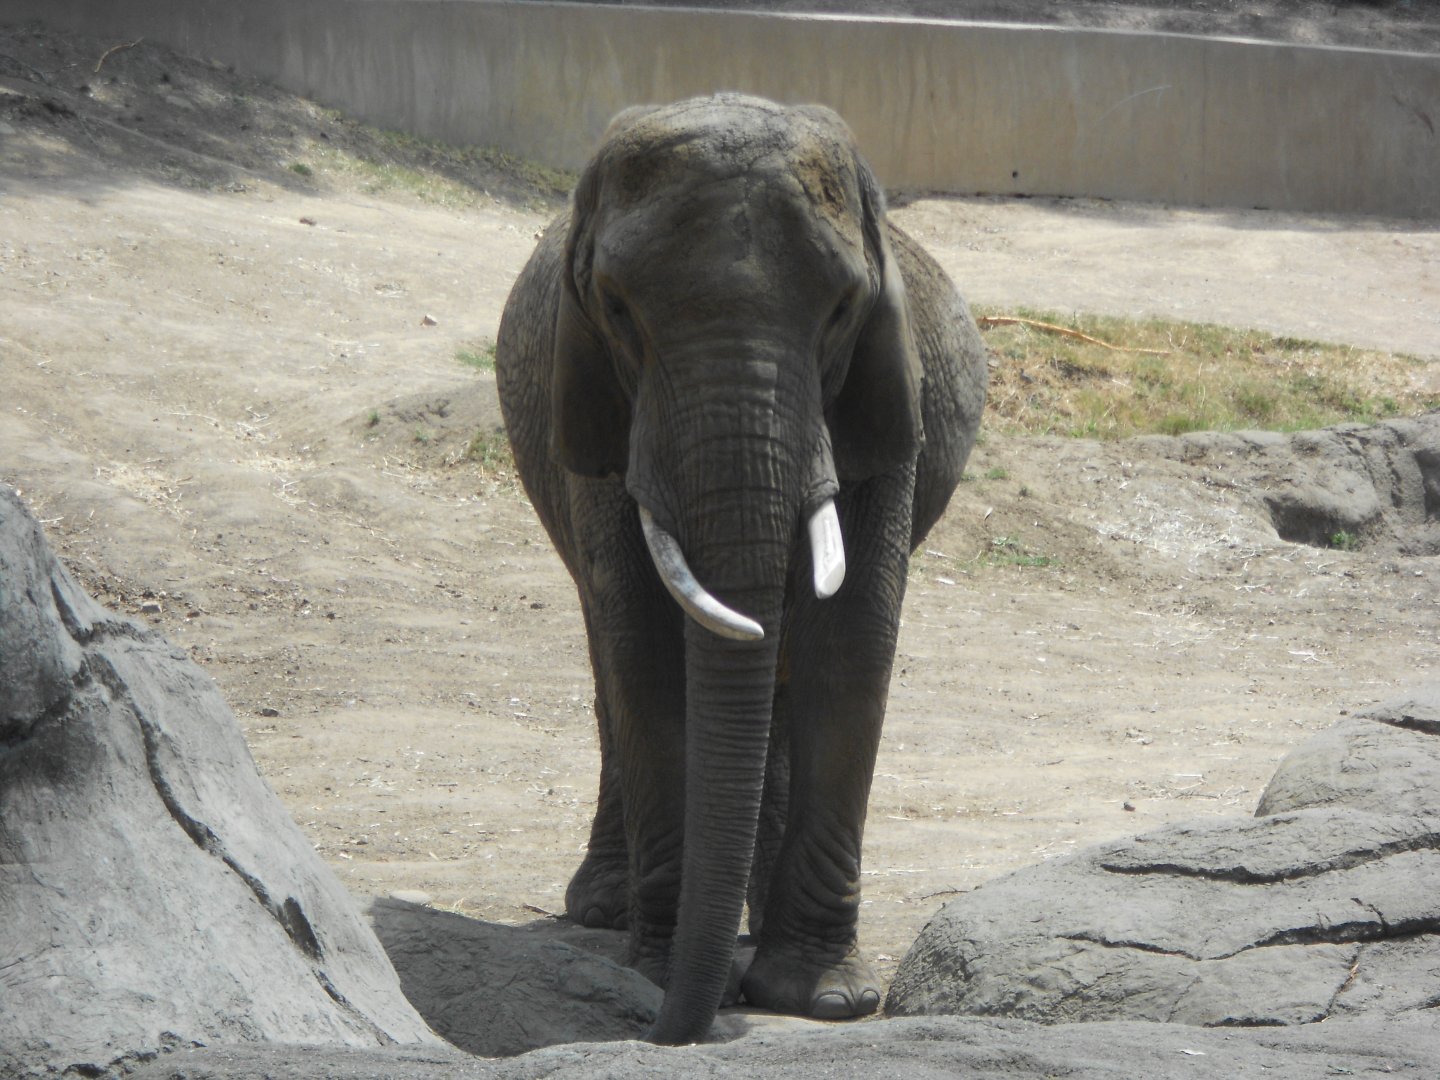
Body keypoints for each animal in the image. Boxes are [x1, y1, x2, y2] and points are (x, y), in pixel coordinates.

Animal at [494, 94, 987, 1044]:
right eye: (617, 309)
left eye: (842, 309)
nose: (666, 1029)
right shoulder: (605, 420)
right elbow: (646, 653)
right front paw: (666, 974)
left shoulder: (879, 410)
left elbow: (852, 649)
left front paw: (824, 999)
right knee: (608, 658)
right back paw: (610, 912)